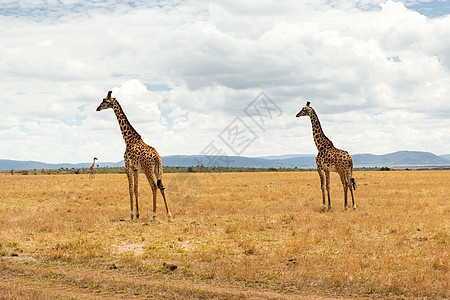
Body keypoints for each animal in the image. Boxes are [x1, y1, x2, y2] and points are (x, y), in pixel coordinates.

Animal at [96, 91, 171, 220]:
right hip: (158, 169)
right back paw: (169, 214)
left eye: (105, 100)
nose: (97, 108)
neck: (128, 139)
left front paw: (131, 215)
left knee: (154, 186)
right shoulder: (136, 169)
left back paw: (153, 215)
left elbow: (130, 189)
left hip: (147, 169)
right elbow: (136, 189)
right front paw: (137, 214)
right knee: (162, 186)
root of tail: (156, 157)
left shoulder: (128, 166)